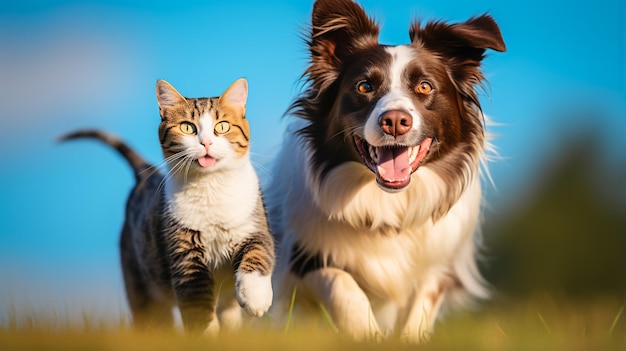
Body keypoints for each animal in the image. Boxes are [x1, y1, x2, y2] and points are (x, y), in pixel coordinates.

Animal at [60, 77, 272, 336]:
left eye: (222, 126)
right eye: (188, 128)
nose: (206, 142)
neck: (210, 188)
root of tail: (145, 175)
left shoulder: (253, 224)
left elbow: (258, 253)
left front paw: (255, 299)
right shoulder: (184, 253)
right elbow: (198, 305)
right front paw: (206, 336)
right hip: (141, 289)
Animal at [266, 0, 504, 342]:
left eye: (424, 86)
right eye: (365, 86)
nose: (394, 121)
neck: (387, 201)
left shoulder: (439, 266)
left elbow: (422, 303)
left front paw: (409, 339)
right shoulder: (300, 257)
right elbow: (341, 281)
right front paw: (365, 332)